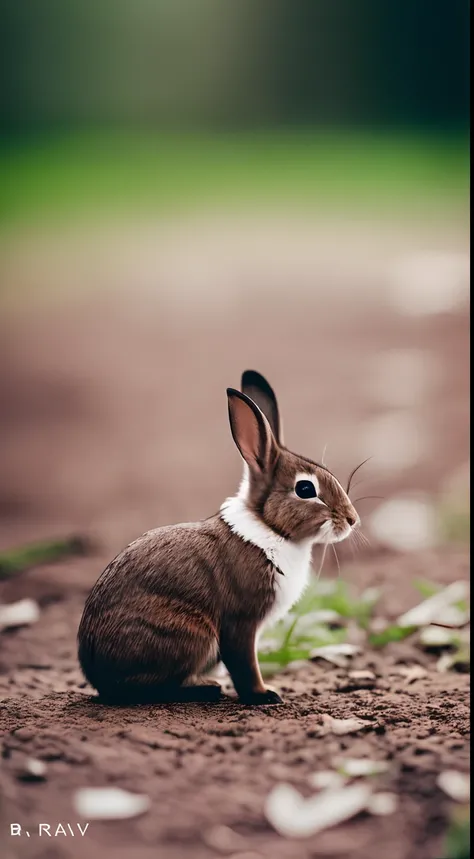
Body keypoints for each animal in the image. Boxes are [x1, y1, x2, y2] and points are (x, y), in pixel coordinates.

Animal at [78, 370, 360, 704]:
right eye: (305, 489)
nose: (352, 520)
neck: (269, 526)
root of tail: (97, 675)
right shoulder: (241, 621)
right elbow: (244, 664)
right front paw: (263, 695)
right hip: (190, 635)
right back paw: (205, 689)